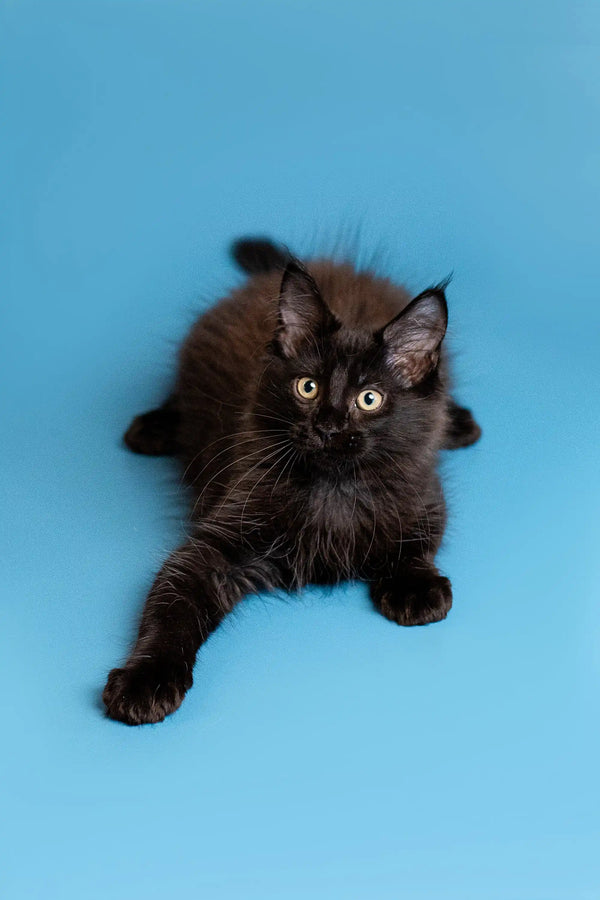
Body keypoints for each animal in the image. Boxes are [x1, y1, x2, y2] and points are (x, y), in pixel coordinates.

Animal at [101, 237, 480, 724]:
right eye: (307, 388)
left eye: (369, 399)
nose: (328, 428)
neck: (334, 490)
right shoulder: (221, 536)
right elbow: (172, 602)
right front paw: (144, 681)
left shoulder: (424, 489)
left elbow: (420, 540)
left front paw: (416, 587)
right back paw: (152, 428)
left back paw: (461, 423)